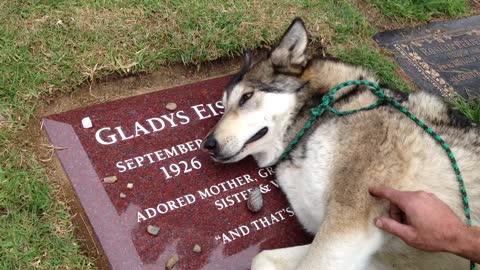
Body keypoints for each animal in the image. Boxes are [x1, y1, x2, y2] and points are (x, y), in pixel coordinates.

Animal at [202, 17, 480, 268]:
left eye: (246, 97)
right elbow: (262, 257)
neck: (321, 114)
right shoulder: (372, 255)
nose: (208, 145)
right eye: (223, 107)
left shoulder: (345, 228)